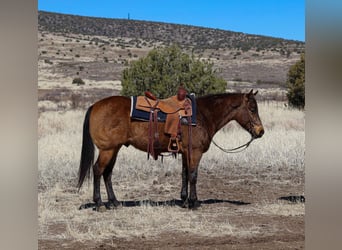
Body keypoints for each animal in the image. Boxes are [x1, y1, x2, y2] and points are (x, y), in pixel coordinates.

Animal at [77, 89, 264, 210]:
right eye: (252, 109)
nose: (260, 131)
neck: (203, 115)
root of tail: (94, 106)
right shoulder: (195, 152)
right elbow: (193, 176)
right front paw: (194, 203)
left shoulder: (186, 153)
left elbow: (185, 175)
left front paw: (184, 201)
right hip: (107, 150)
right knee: (98, 170)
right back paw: (99, 203)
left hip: (114, 149)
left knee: (107, 173)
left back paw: (114, 203)